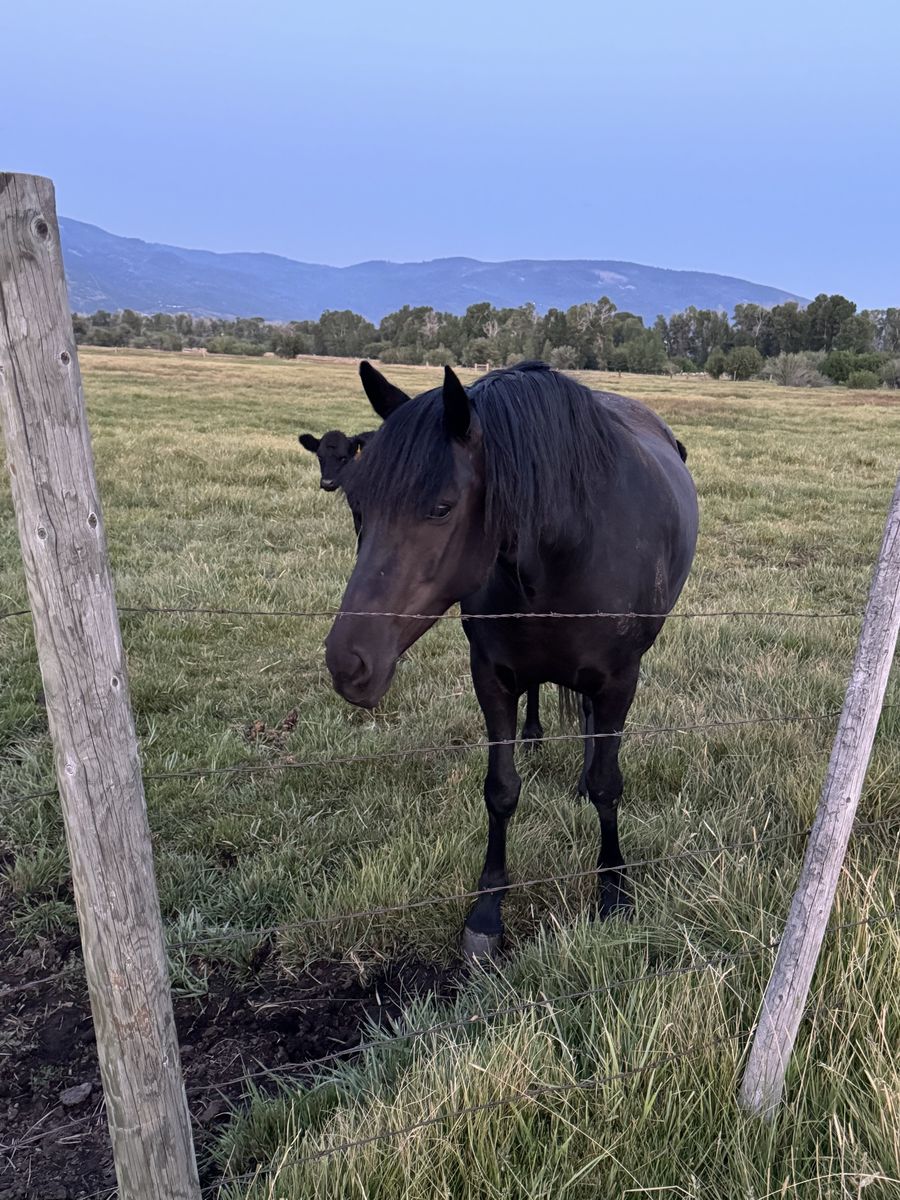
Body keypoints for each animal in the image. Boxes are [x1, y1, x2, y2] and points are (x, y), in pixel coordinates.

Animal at [325, 360, 698, 958]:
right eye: (358, 507)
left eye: (441, 508)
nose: (348, 663)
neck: (571, 545)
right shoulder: (492, 677)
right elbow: (500, 791)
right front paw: (486, 911)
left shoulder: (619, 680)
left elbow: (607, 784)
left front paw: (613, 890)